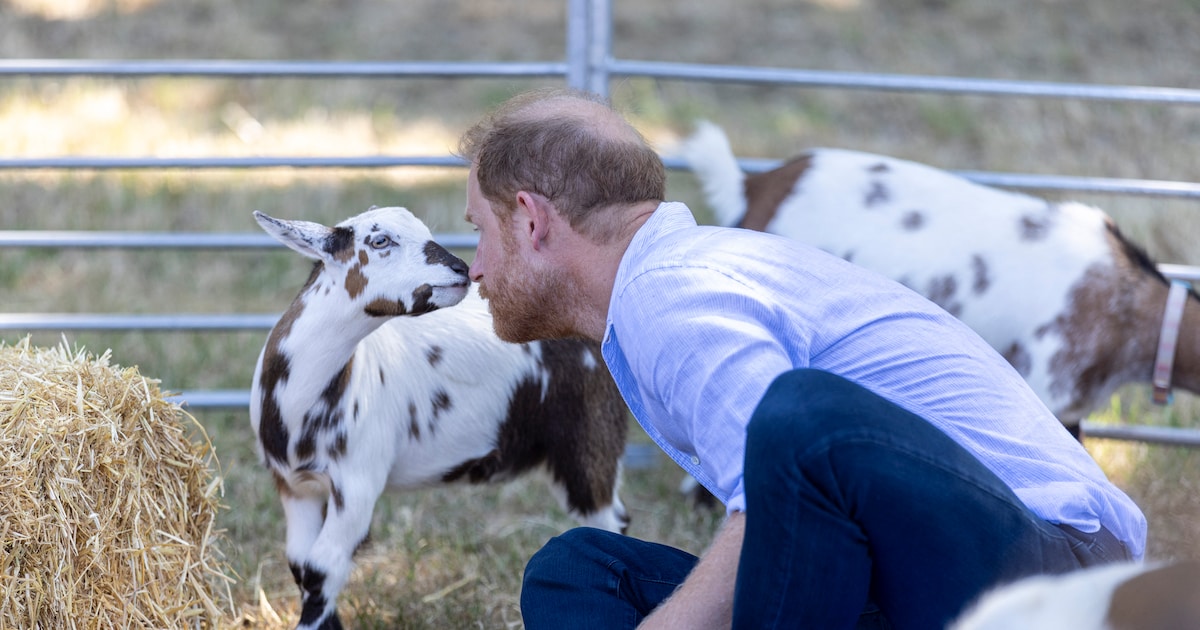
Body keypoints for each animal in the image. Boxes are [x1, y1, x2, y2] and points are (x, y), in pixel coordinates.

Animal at [249, 206, 629, 630]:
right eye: (380, 240)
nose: (461, 269)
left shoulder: (358, 484)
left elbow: (321, 569)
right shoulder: (293, 486)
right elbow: (302, 567)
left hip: (590, 436)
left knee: (607, 519)